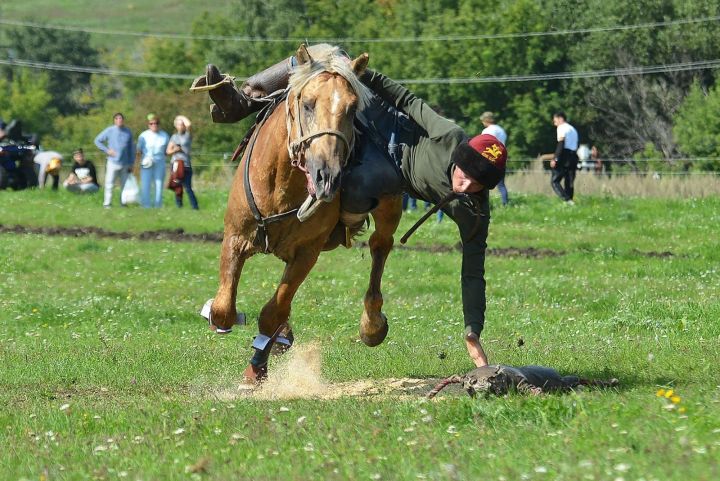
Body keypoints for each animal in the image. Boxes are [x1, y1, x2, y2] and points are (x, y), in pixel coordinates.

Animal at [205, 45, 402, 382]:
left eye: (352, 109)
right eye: (308, 105)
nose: (328, 175)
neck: (281, 185)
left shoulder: (307, 253)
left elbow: (273, 311)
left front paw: (257, 368)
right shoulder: (235, 236)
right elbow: (223, 309)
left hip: (390, 206)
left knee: (380, 245)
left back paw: (372, 324)